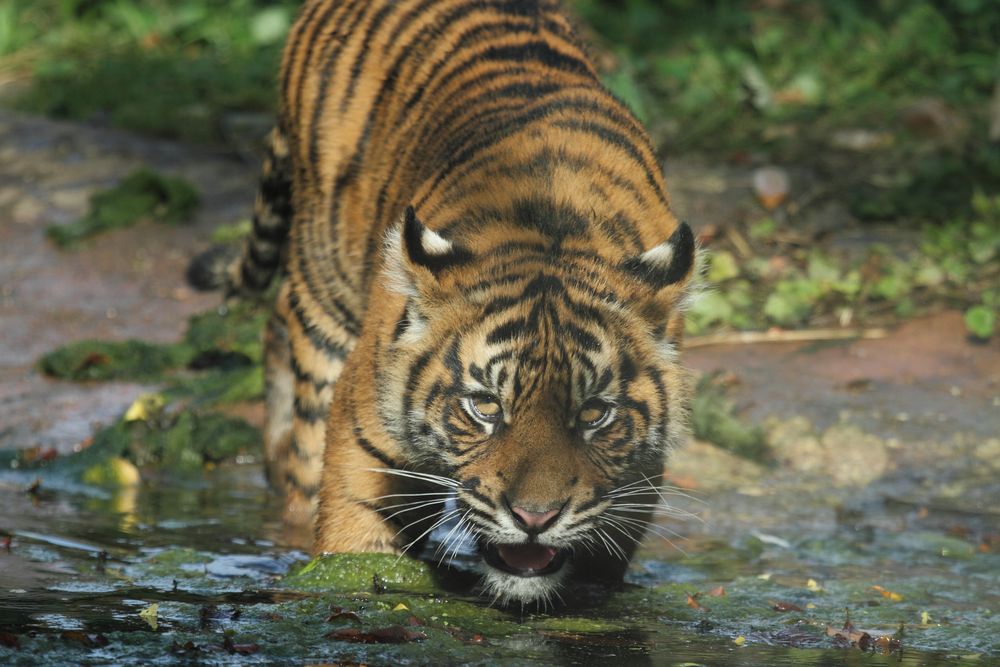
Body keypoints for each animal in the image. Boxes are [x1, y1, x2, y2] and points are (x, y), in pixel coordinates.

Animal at [214, 0, 696, 604]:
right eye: (484, 406)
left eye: (593, 413)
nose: (534, 519)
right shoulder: (363, 436)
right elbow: (353, 546)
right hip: (323, 273)